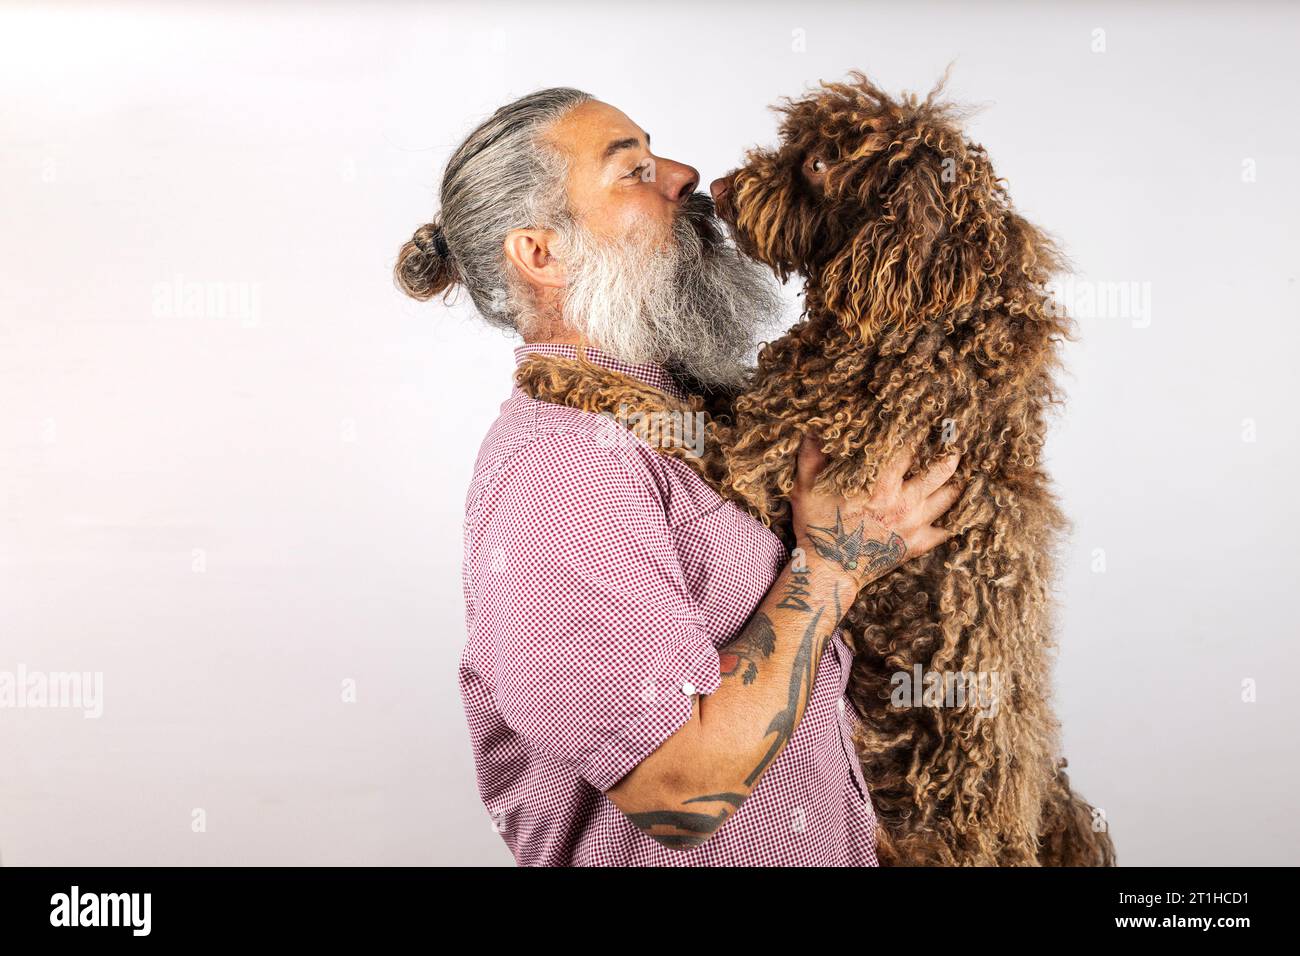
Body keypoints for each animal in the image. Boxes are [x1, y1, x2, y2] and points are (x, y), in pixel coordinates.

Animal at [517, 74, 1118, 868]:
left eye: (823, 164)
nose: (719, 185)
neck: (925, 322)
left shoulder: (760, 460)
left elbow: (665, 407)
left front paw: (559, 371)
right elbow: (695, 394)